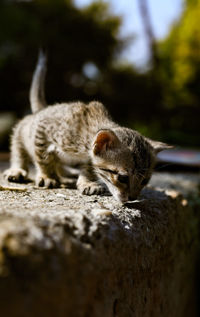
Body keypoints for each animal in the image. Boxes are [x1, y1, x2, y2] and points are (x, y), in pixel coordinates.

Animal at [3, 50, 171, 201]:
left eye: (145, 181)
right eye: (123, 178)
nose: (132, 198)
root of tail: (43, 108)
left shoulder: (89, 159)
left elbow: (89, 169)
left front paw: (88, 183)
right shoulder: (42, 130)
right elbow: (43, 159)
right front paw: (47, 176)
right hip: (21, 131)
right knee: (19, 152)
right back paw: (17, 170)